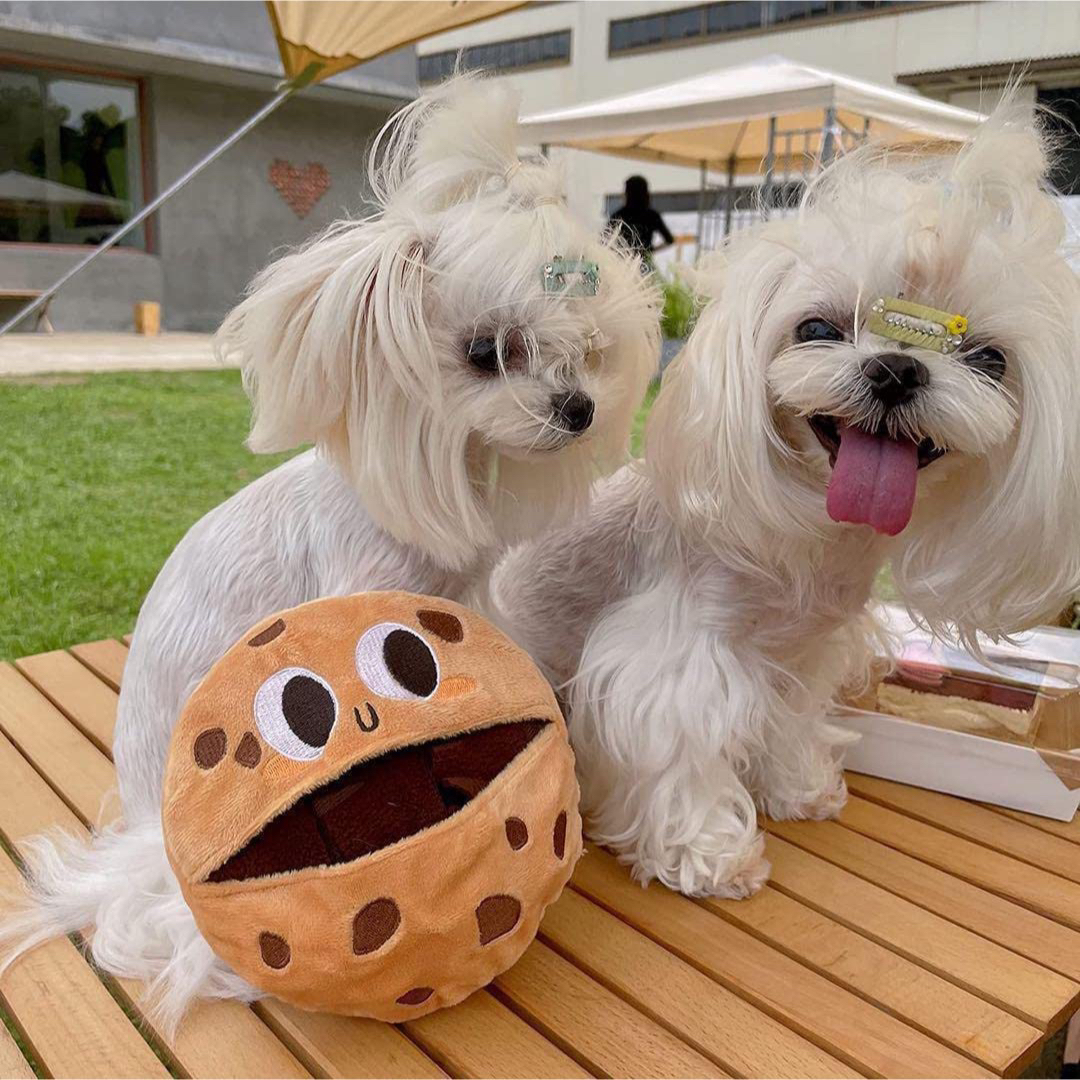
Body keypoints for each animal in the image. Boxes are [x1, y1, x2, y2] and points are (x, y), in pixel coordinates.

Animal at [496, 97, 1080, 898]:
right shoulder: (676, 665)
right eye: (817, 328)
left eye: (989, 359)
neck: (812, 534)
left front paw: (799, 786)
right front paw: (708, 853)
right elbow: (682, 753)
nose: (896, 370)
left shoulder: (803, 658)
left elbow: (791, 722)